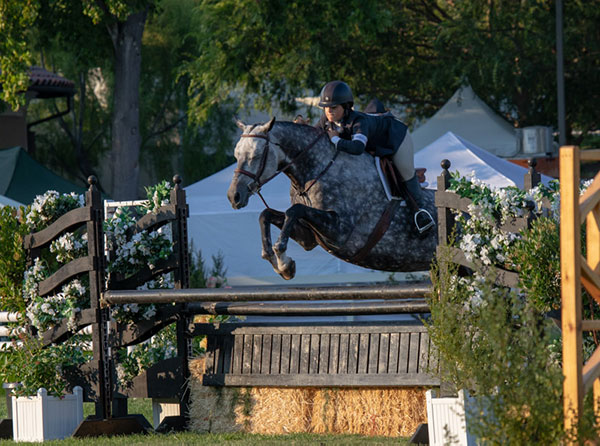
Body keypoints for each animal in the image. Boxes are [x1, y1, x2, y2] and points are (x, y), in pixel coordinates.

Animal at [225, 116, 436, 280]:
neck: (315, 171)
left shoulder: (341, 232)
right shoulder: (309, 237)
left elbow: (294, 210)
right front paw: (280, 264)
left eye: (256, 155)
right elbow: (266, 214)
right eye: (236, 155)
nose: (234, 196)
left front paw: (283, 262)